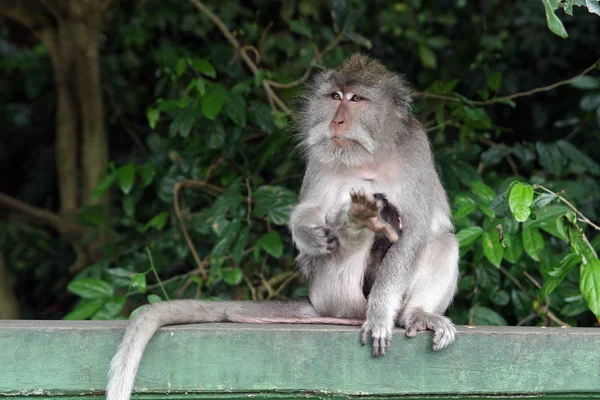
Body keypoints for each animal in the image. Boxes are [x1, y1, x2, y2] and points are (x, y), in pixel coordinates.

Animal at [105, 54, 458, 400]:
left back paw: (415, 313)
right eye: (335, 97)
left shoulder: (414, 150)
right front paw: (307, 234)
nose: (336, 122)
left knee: (444, 241)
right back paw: (360, 221)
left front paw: (382, 311)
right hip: (331, 293)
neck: (366, 157)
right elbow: (311, 207)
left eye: (356, 99)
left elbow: (415, 230)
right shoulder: (320, 156)